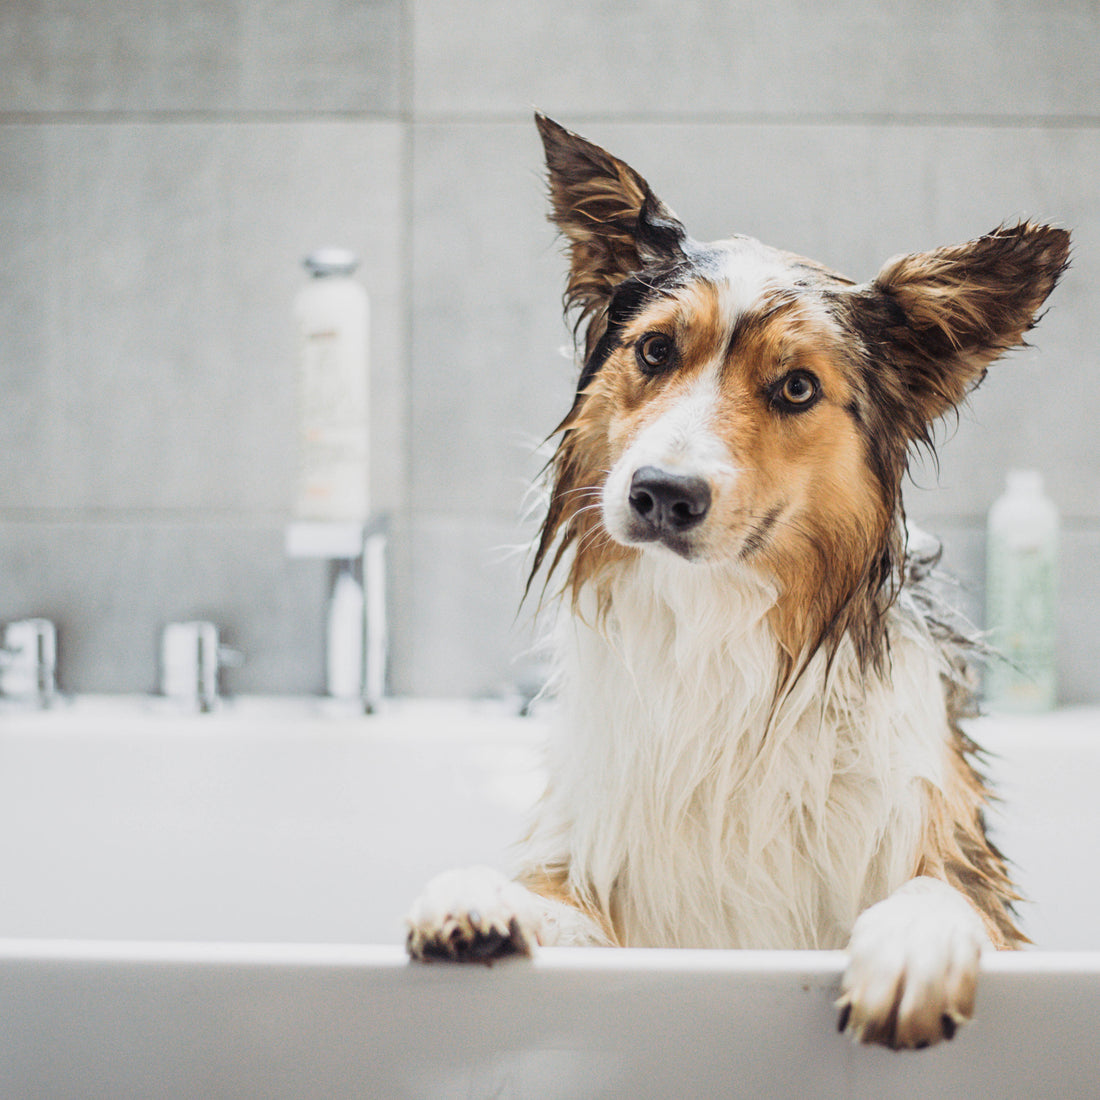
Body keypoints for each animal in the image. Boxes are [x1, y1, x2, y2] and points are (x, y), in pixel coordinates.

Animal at [404, 116, 1064, 1051]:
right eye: (654, 350)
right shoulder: (616, 888)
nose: (661, 494)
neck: (717, 630)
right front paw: (482, 895)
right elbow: (554, 899)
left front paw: (910, 944)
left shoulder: (960, 857)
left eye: (797, 387)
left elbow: (942, 891)